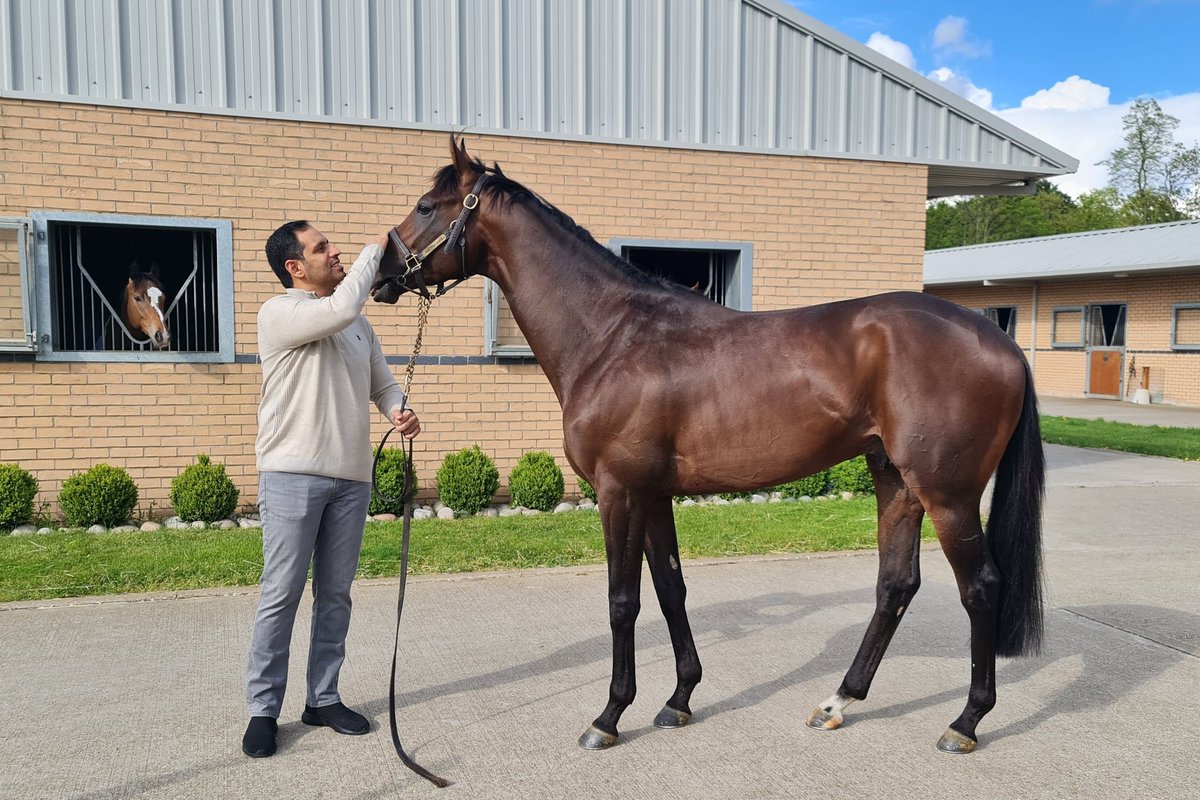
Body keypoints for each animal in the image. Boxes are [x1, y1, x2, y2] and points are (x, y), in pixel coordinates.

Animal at [374, 139, 1041, 758]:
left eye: (425, 205)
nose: (381, 272)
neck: (610, 336)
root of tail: (999, 341)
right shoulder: (653, 495)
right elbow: (671, 591)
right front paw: (679, 700)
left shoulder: (619, 493)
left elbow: (623, 601)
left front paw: (609, 716)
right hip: (895, 480)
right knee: (895, 585)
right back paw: (838, 701)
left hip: (947, 494)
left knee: (981, 587)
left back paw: (964, 723)